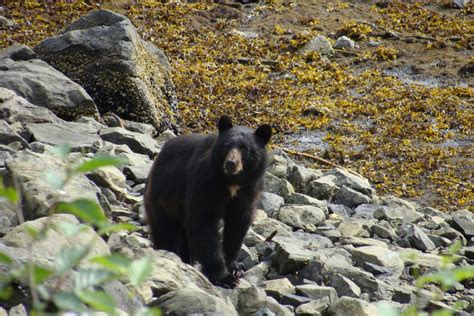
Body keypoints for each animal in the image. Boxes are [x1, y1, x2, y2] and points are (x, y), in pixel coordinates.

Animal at [143, 116, 270, 288]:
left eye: (245, 149)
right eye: (226, 146)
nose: (231, 163)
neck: (231, 182)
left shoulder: (248, 192)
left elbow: (238, 225)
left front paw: (235, 268)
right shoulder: (204, 183)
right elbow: (203, 223)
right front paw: (224, 277)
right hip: (163, 200)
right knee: (166, 232)